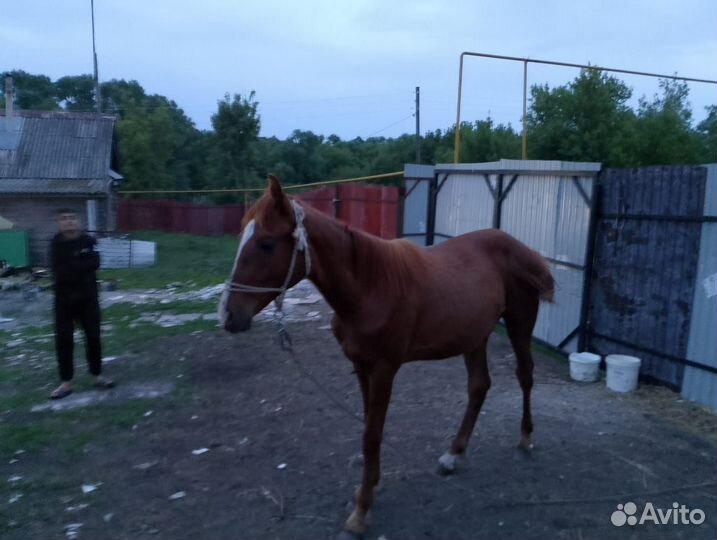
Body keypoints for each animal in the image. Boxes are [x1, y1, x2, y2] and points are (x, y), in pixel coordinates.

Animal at [219, 175, 555, 535]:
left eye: (266, 244)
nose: (228, 315)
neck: (371, 286)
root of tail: (521, 247)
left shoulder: (384, 369)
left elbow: (371, 435)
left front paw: (361, 511)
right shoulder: (361, 365)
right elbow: (370, 425)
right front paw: (371, 484)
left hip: (519, 323)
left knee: (525, 374)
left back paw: (525, 438)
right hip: (475, 336)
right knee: (479, 386)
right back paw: (454, 454)